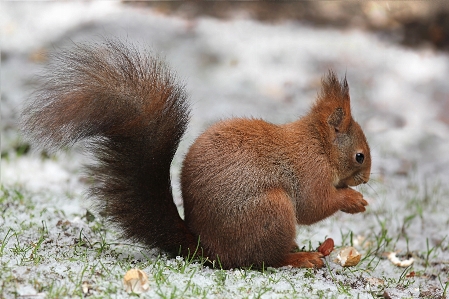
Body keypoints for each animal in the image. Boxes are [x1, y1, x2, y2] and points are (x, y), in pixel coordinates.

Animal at [21, 39, 370, 270]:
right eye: (360, 156)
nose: (366, 179)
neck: (319, 144)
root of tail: (209, 249)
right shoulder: (310, 169)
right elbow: (314, 205)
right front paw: (352, 200)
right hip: (271, 211)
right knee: (263, 259)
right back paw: (300, 256)